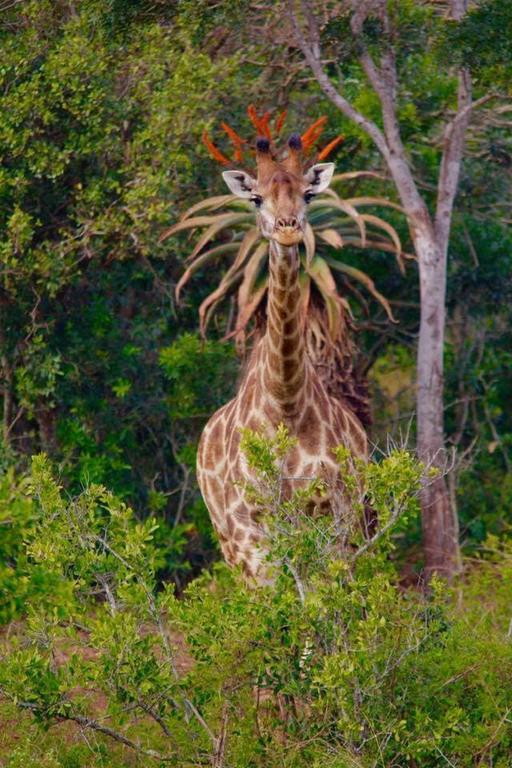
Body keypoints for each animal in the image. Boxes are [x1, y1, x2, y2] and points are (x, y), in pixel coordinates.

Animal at [196, 132, 368, 580]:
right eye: (256, 199)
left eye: (308, 193)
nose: (288, 230)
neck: (285, 402)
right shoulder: (251, 535)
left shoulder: (333, 518)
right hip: (229, 543)